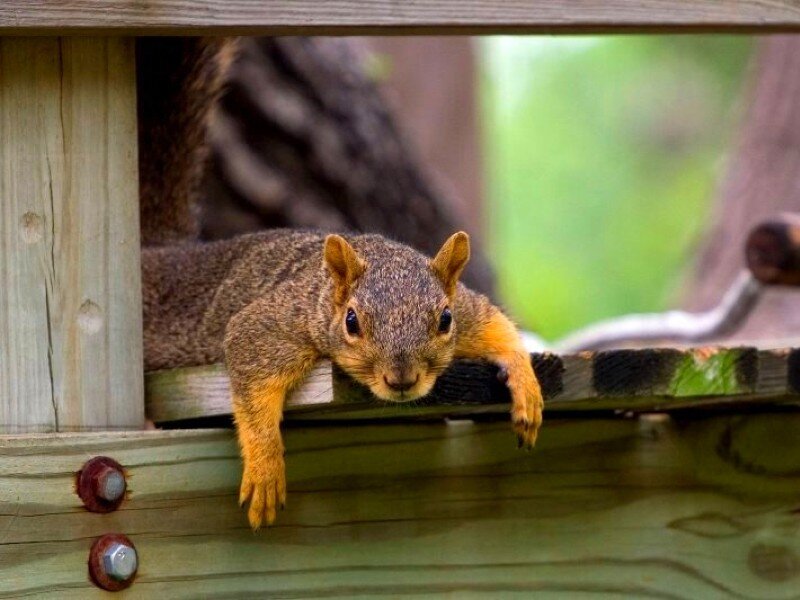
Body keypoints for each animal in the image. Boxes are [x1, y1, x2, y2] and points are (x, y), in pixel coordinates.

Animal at [143, 229, 543, 530]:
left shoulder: (466, 310)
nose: (401, 379)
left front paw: (528, 389)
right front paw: (265, 470)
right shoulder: (272, 326)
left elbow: (498, 328)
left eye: (445, 319)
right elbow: (254, 389)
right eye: (351, 322)